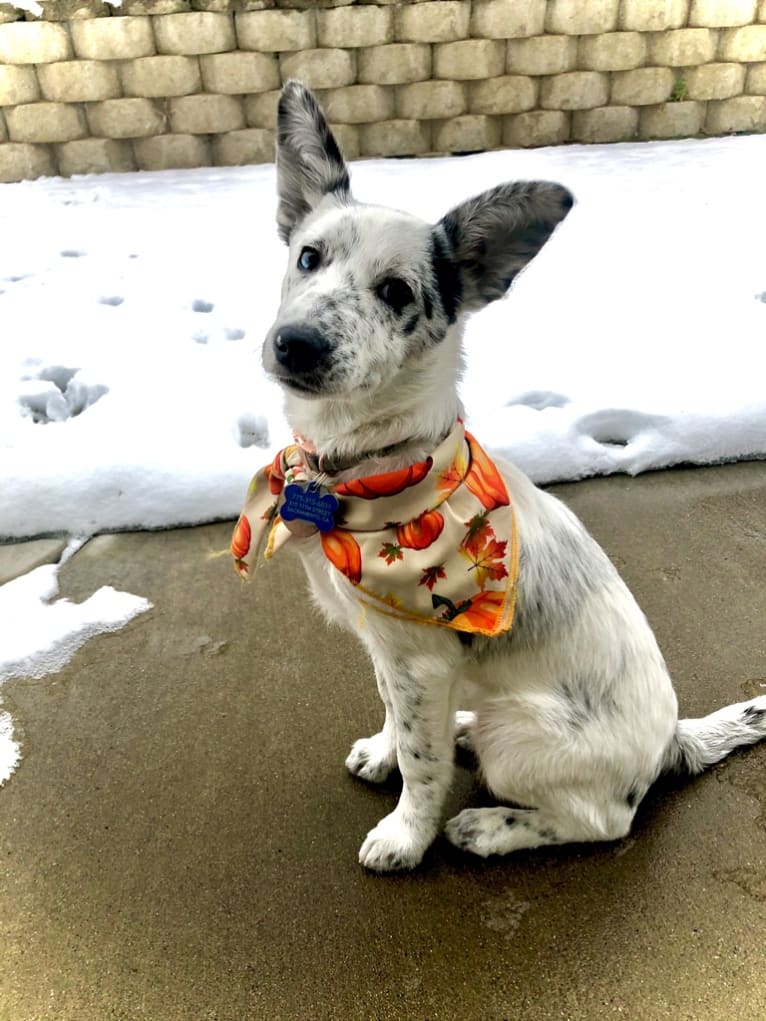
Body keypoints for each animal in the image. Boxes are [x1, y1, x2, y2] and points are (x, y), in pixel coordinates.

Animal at [236, 83, 763, 873]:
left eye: (396, 292)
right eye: (307, 256)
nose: (294, 345)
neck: (367, 469)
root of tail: (671, 742)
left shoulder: (421, 660)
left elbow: (422, 768)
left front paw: (406, 834)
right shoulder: (396, 652)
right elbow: (397, 718)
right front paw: (385, 752)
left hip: (519, 736)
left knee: (605, 819)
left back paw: (489, 827)